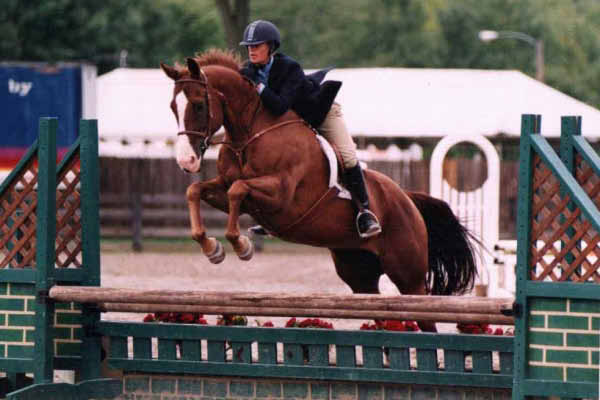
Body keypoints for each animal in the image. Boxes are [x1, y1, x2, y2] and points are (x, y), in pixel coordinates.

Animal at [161, 50, 478, 332]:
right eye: (173, 107)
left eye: (199, 105)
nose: (186, 161)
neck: (248, 133)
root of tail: (408, 200)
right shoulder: (228, 189)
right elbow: (196, 191)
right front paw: (212, 248)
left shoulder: (281, 195)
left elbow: (238, 190)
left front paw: (242, 246)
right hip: (359, 274)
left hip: (409, 276)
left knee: (425, 318)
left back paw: (369, 221)